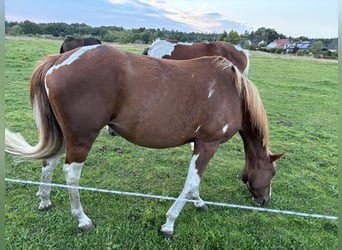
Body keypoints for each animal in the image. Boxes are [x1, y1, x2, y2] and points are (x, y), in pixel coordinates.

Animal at [6, 44, 284, 238]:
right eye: (272, 173)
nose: (264, 201)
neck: (232, 92)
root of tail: (59, 60)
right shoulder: (208, 144)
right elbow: (192, 181)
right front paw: (169, 224)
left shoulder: (198, 145)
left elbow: (194, 182)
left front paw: (198, 202)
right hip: (81, 139)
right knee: (70, 174)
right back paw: (82, 220)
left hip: (65, 135)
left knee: (49, 163)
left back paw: (45, 200)